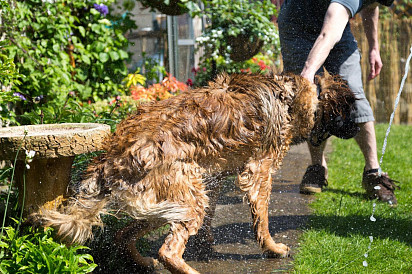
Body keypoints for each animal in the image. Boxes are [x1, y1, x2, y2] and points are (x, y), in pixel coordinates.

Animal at [32, 71, 358, 274]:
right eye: (352, 111)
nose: (358, 129)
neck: (290, 97)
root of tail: (115, 156)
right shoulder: (259, 171)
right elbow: (262, 219)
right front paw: (272, 248)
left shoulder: (216, 177)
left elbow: (215, 212)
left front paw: (207, 242)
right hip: (185, 197)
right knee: (168, 252)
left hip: (169, 199)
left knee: (124, 234)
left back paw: (143, 262)